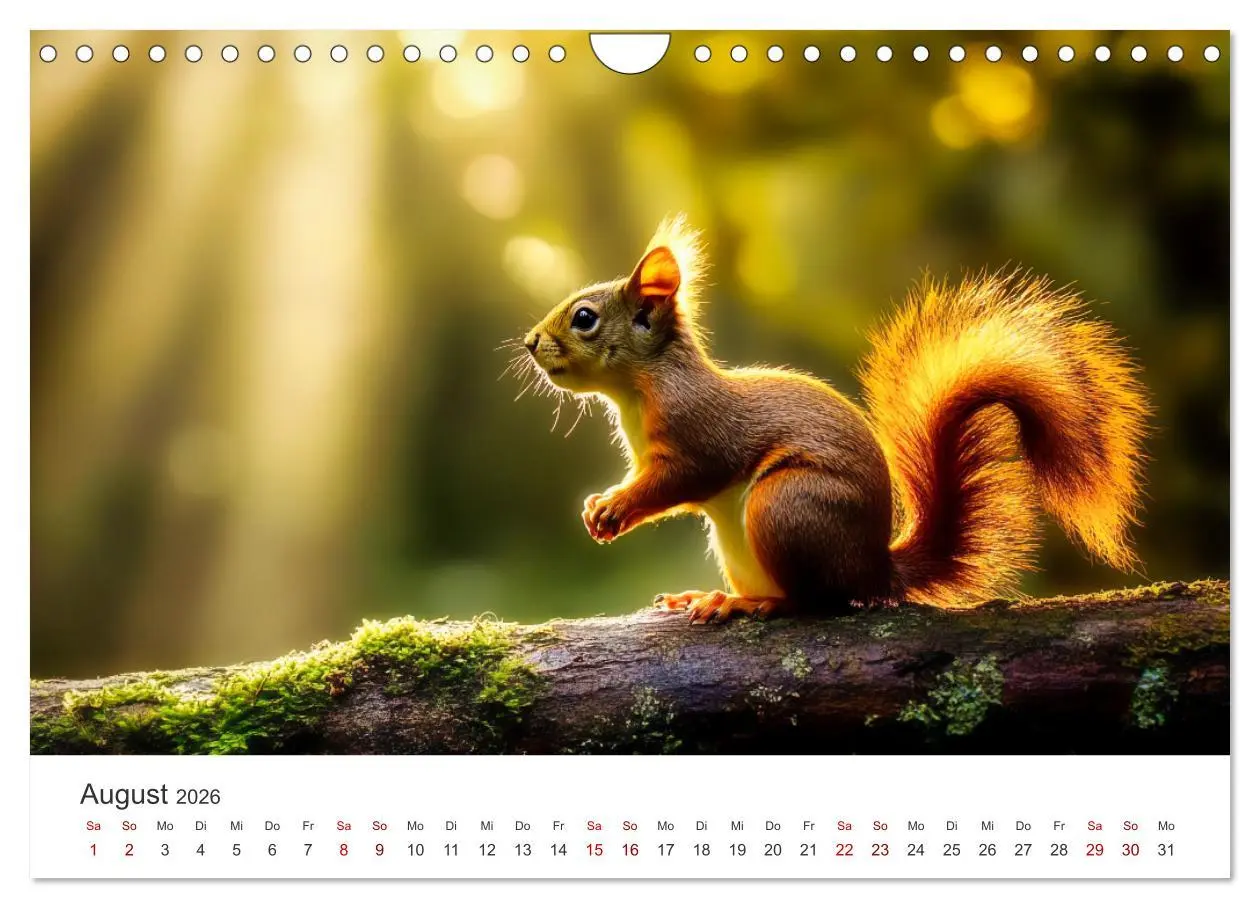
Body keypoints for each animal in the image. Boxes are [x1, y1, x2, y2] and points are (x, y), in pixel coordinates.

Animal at [521, 217, 1151, 623]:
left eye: (584, 318)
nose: (529, 343)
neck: (641, 388)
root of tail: (874, 569)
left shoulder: (698, 435)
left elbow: (679, 481)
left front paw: (614, 508)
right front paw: (599, 504)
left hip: (785, 506)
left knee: (815, 601)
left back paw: (751, 603)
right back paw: (703, 596)